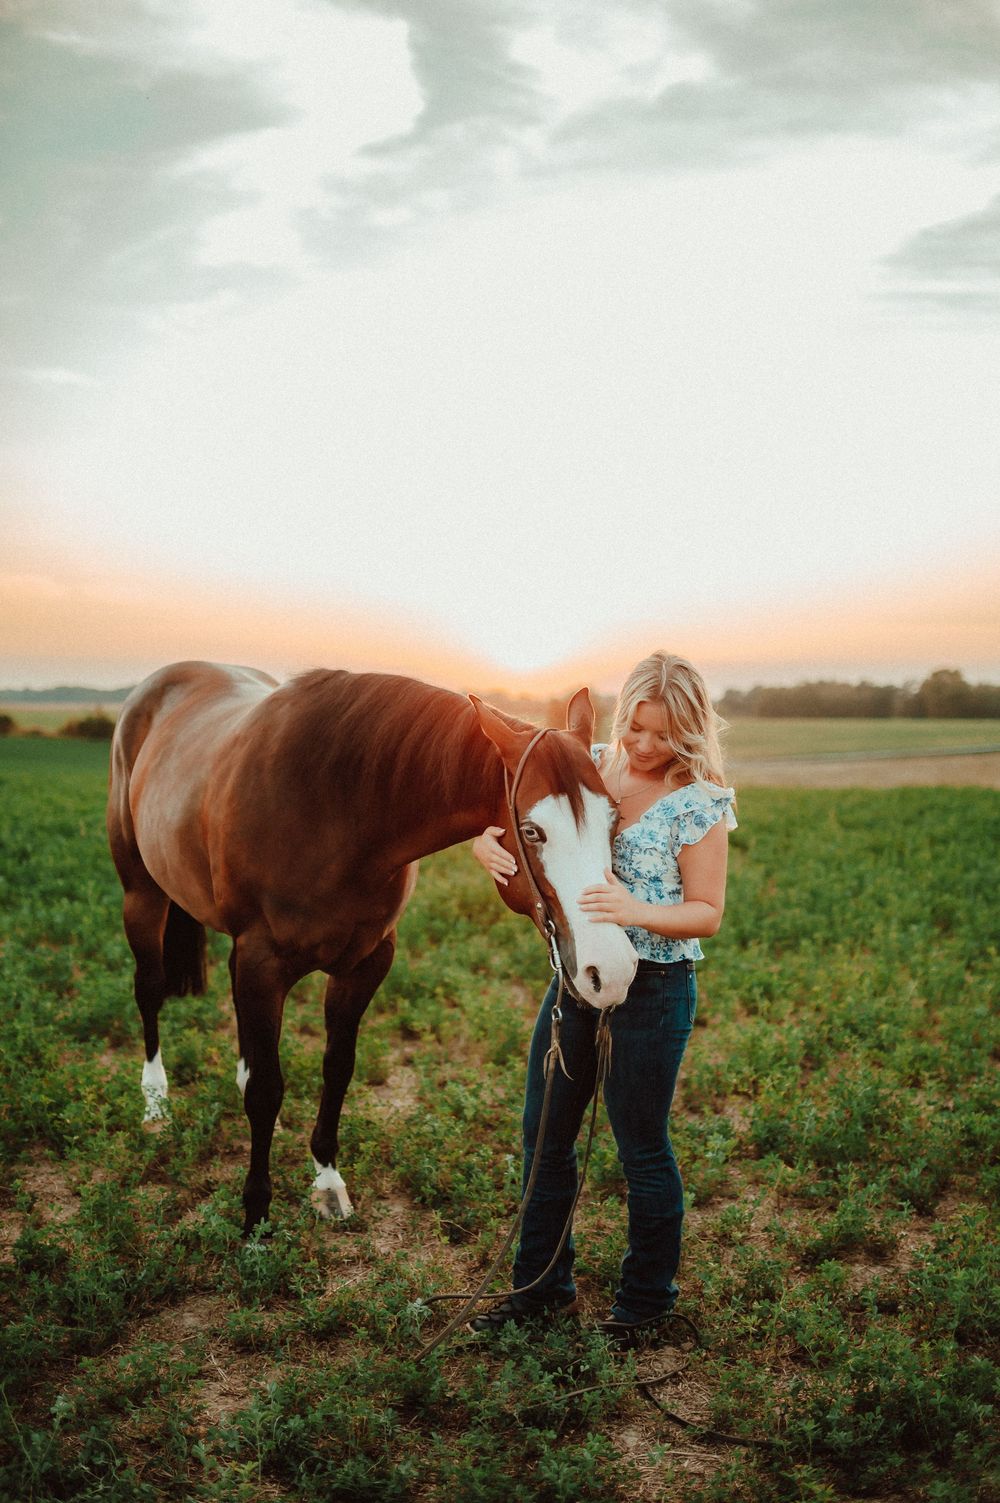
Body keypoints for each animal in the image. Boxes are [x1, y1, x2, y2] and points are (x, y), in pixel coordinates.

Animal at [106, 661, 638, 1234]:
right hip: (142, 897)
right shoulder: (263, 963)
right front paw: (256, 1219)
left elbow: (337, 1069)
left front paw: (327, 1183)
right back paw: (155, 1104)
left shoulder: (365, 963)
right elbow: (268, 1091)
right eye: (532, 830)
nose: (613, 971)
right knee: (149, 990)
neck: (335, 809)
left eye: (614, 819)